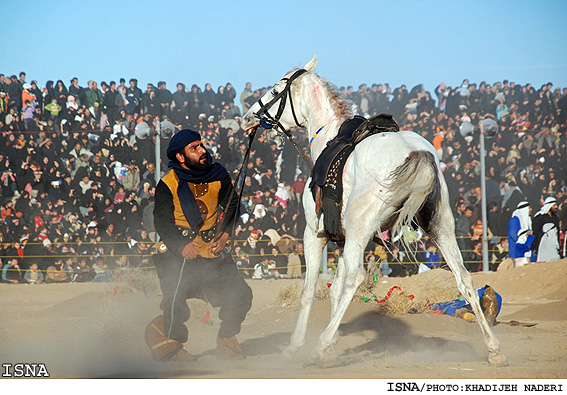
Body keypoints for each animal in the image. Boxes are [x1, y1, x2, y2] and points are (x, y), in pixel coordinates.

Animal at [242, 55, 508, 368]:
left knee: (357, 277)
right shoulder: (343, 240)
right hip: (440, 226)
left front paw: (298, 345)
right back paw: (494, 349)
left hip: (361, 228)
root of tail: (417, 153)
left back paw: (319, 346)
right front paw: (332, 346)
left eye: (274, 91)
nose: (248, 117)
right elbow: (335, 290)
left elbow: (311, 291)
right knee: (464, 279)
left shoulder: (315, 234)